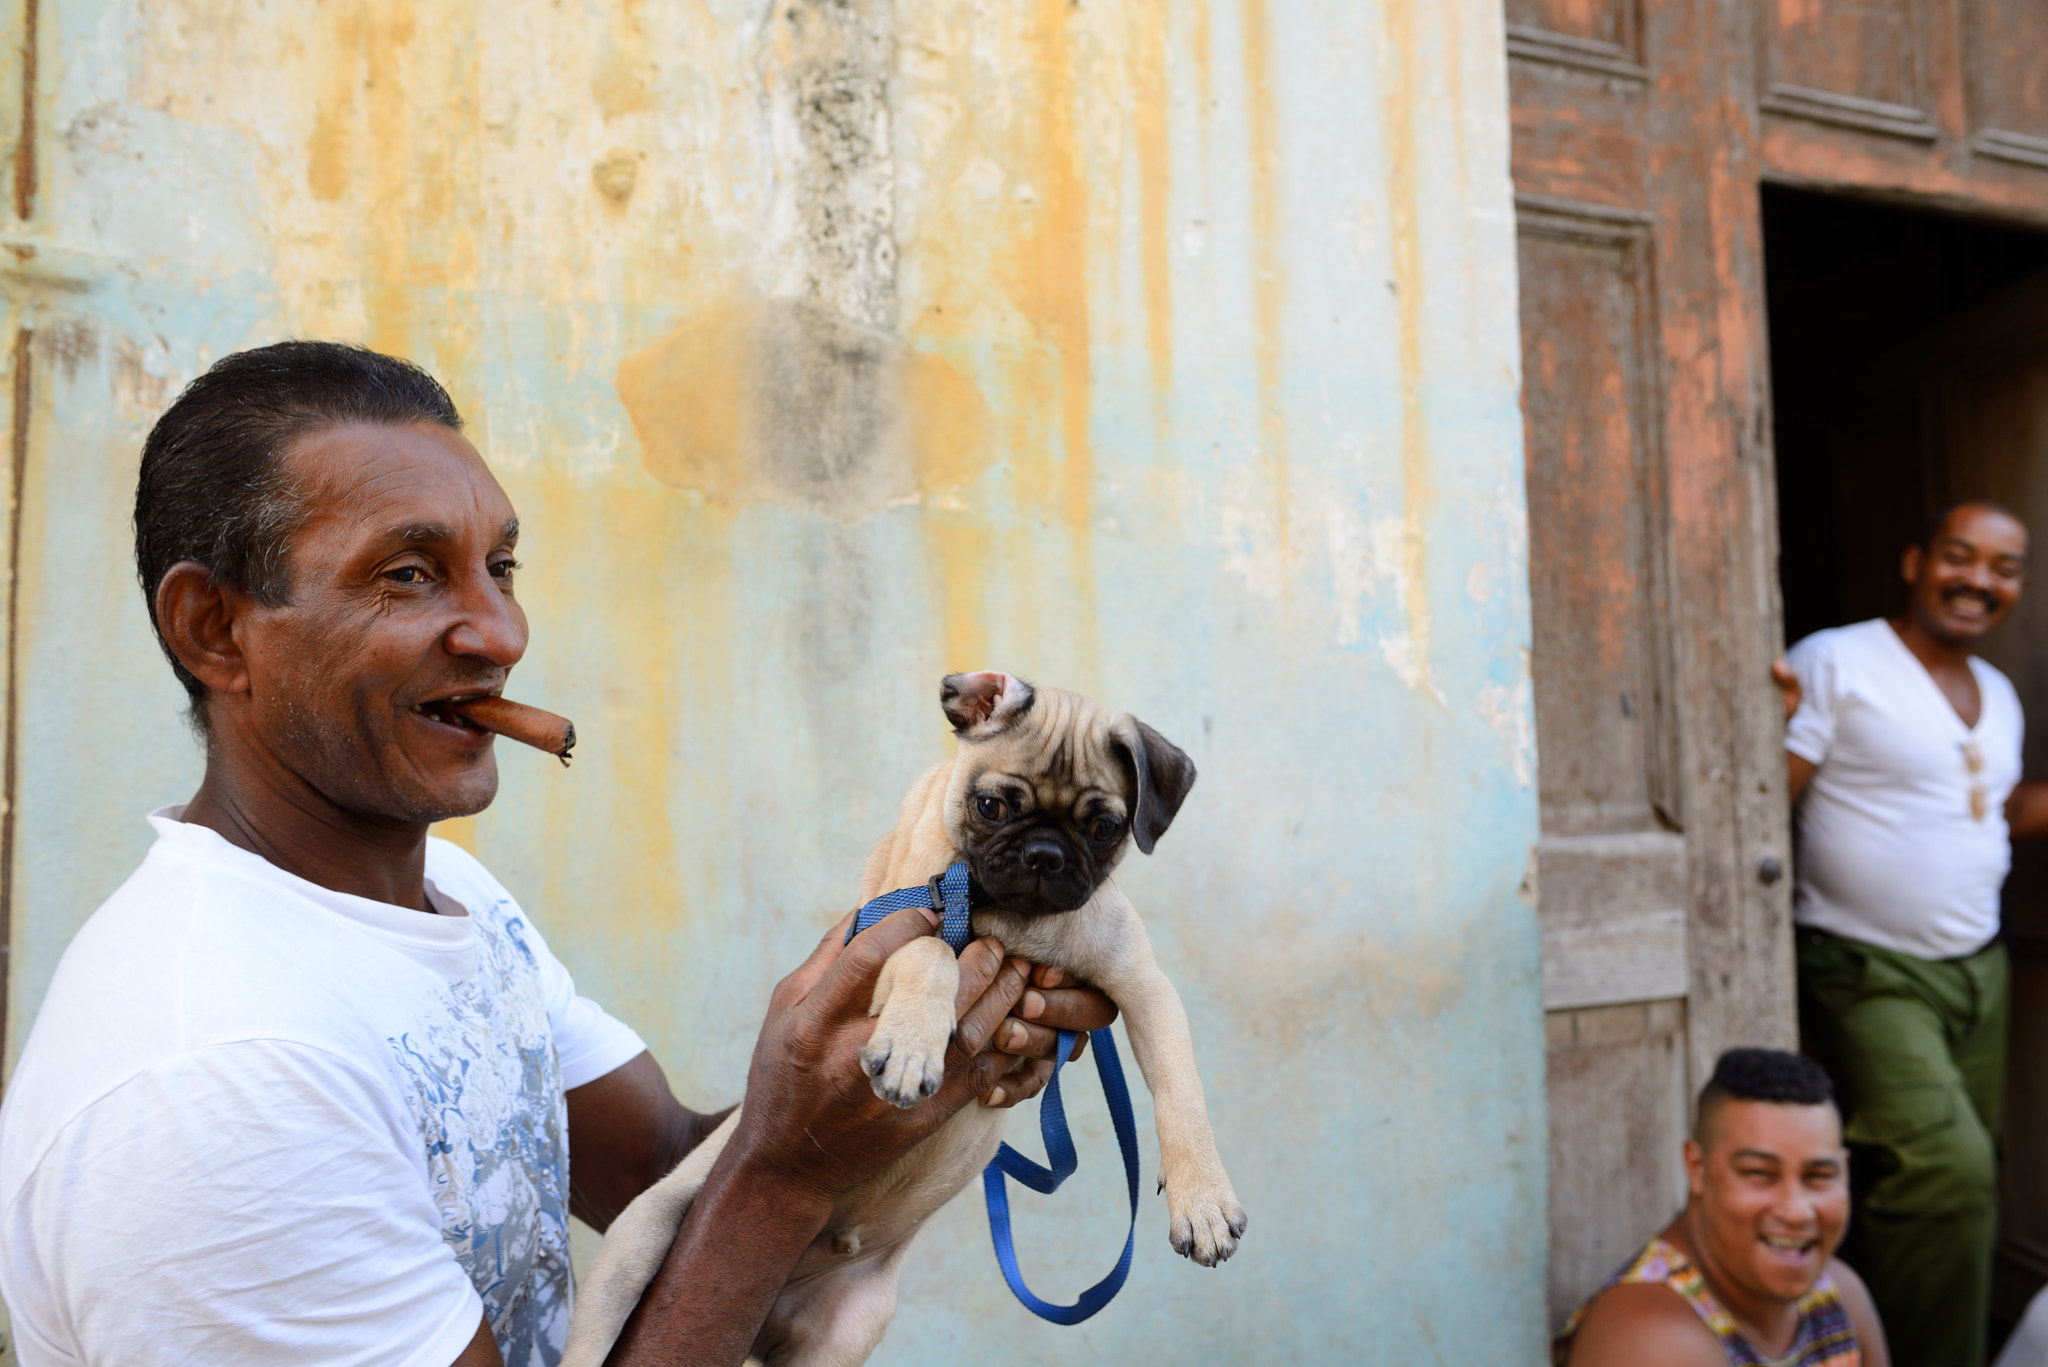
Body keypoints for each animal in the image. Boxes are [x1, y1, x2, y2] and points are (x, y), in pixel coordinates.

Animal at [561, 672, 1245, 1367]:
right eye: (991, 807)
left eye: (1105, 828)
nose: (1045, 854)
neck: (1016, 922)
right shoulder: (887, 943)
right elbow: (933, 954)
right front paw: (913, 1047)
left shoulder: (1144, 988)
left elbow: (1181, 1092)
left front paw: (1203, 1200)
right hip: (638, 1244)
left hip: (847, 1331)